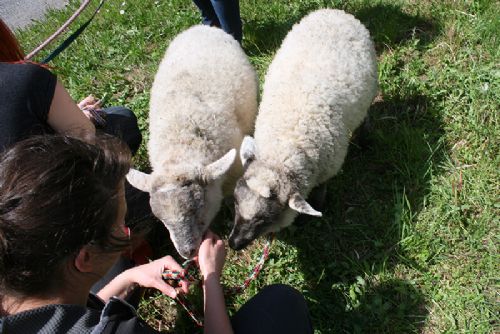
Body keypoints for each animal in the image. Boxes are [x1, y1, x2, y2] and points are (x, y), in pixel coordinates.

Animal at [229, 9, 376, 249]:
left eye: (263, 220)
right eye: (234, 202)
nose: (233, 243)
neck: (284, 146)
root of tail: (333, 12)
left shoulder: (327, 170)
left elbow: (319, 195)